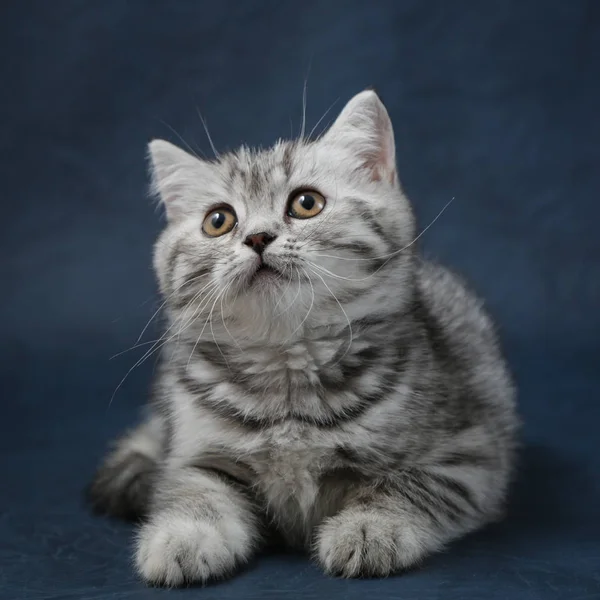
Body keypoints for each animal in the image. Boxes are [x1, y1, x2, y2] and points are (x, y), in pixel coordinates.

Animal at [86, 90, 516, 584]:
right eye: (218, 220)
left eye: (306, 203)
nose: (257, 237)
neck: (287, 362)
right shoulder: (194, 452)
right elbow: (195, 490)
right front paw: (185, 535)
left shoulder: (468, 457)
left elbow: (406, 486)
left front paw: (370, 527)